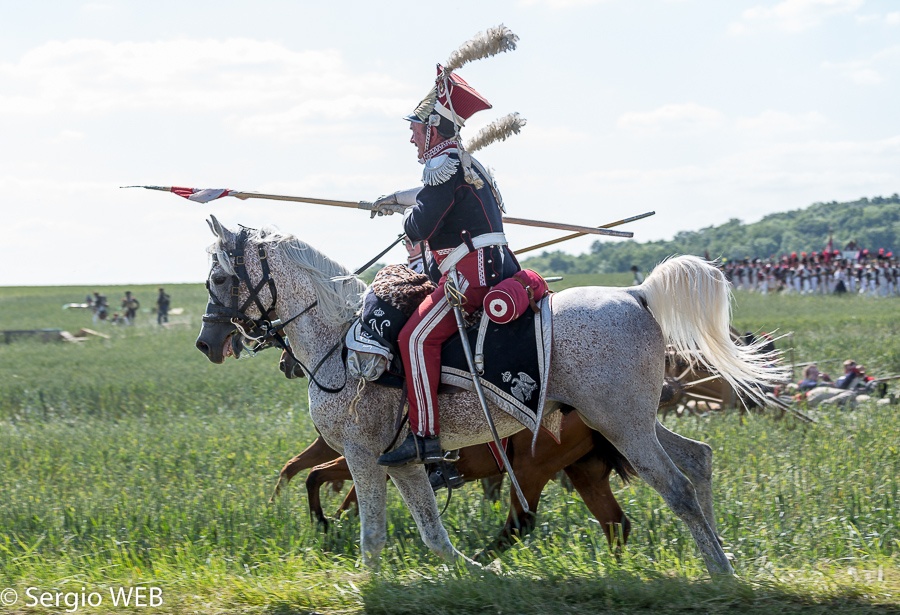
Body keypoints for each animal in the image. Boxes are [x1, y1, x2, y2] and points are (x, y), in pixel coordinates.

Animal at [195, 218, 780, 576]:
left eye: (219, 277)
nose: (207, 343)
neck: (339, 340)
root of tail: (636, 294)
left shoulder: (361, 456)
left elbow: (372, 536)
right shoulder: (402, 460)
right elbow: (432, 533)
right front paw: (480, 570)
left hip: (623, 426)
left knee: (677, 487)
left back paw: (720, 571)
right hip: (625, 421)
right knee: (698, 461)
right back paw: (722, 554)